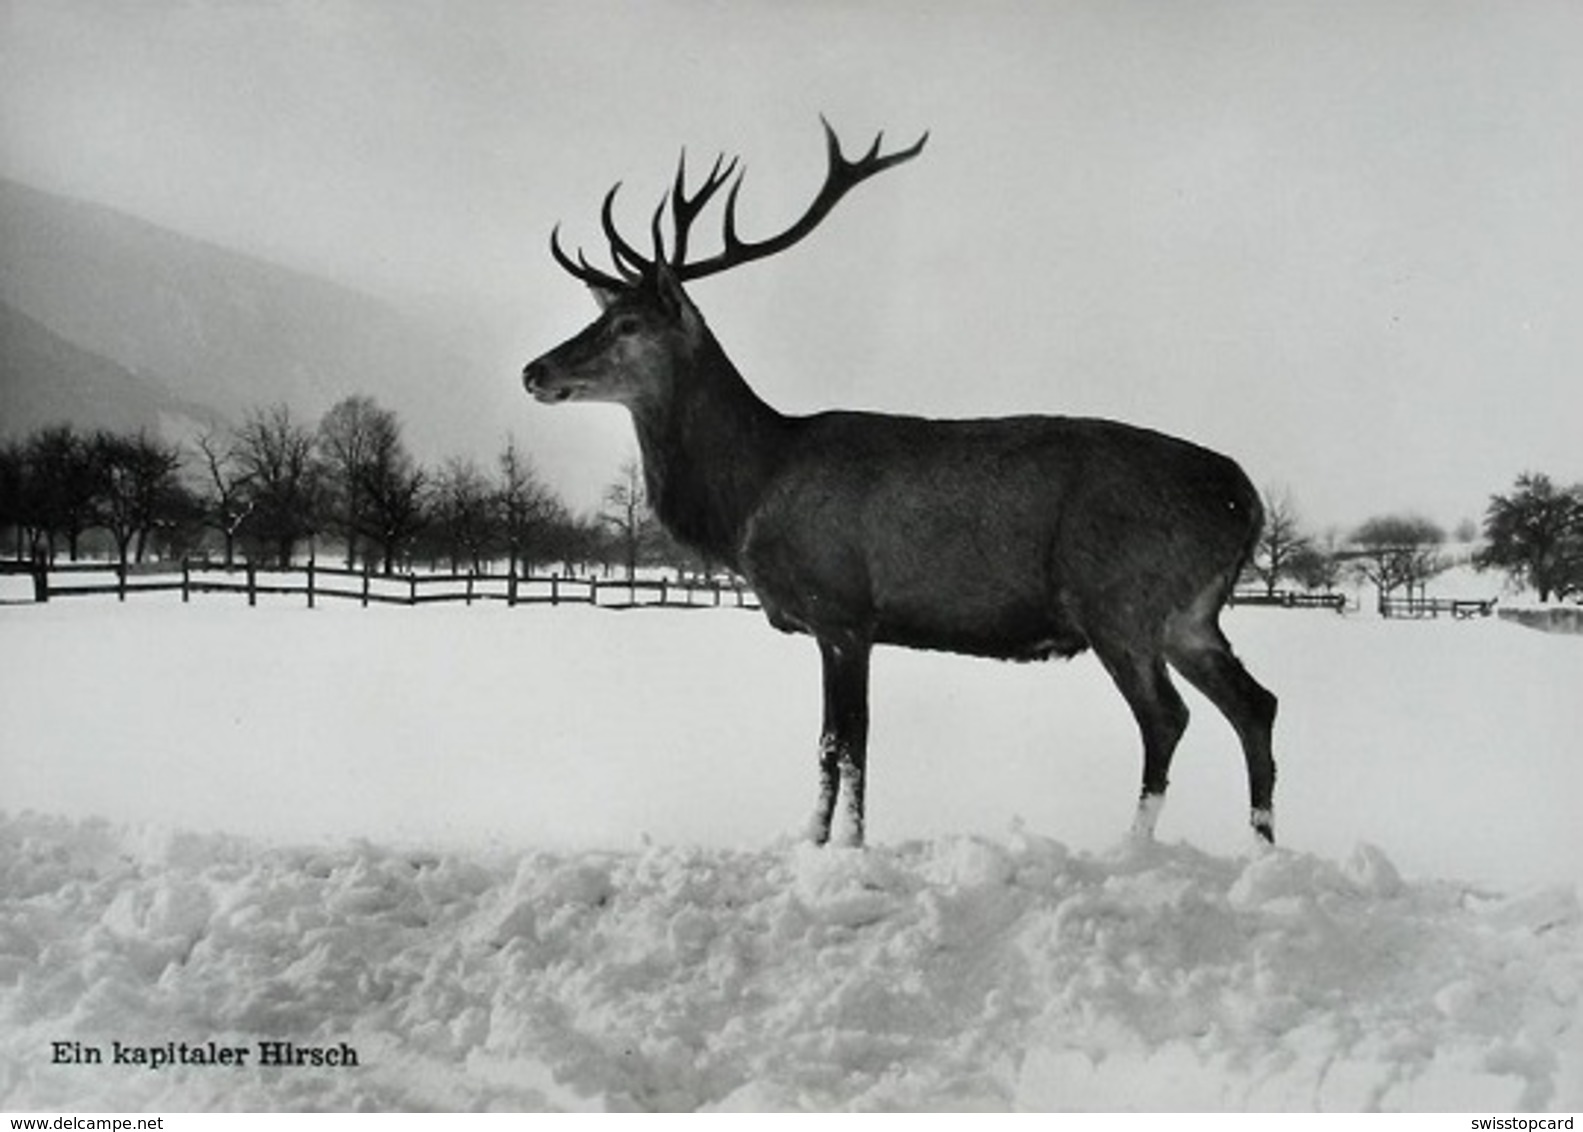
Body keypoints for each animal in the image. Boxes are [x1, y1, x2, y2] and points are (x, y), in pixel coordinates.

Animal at [525, 124, 1279, 848]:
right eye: (596, 316)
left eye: (628, 325)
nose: (535, 370)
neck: (751, 495)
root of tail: (1245, 498)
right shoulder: (837, 623)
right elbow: (834, 743)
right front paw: (817, 842)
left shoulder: (841, 608)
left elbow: (847, 741)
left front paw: (846, 848)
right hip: (1189, 614)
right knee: (1255, 703)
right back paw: (1261, 845)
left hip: (1119, 598)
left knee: (1166, 716)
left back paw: (1134, 848)